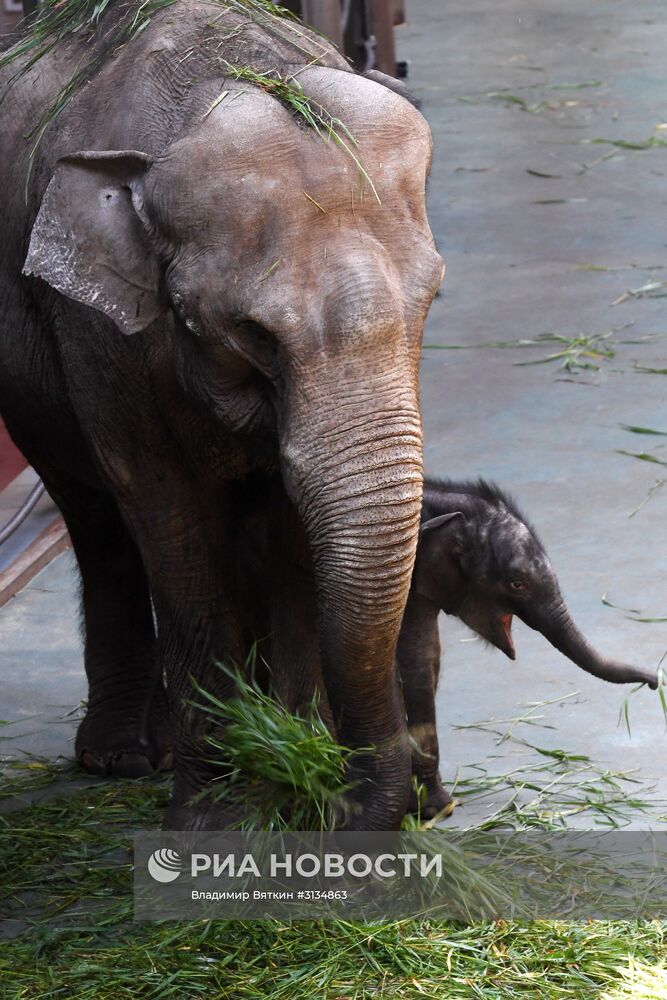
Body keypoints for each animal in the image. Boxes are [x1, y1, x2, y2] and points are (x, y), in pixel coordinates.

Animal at [2, 0, 446, 828]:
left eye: (431, 298)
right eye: (253, 335)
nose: (366, 804)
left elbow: (288, 526)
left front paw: (291, 782)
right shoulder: (97, 332)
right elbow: (169, 518)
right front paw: (213, 815)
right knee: (96, 518)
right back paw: (125, 756)